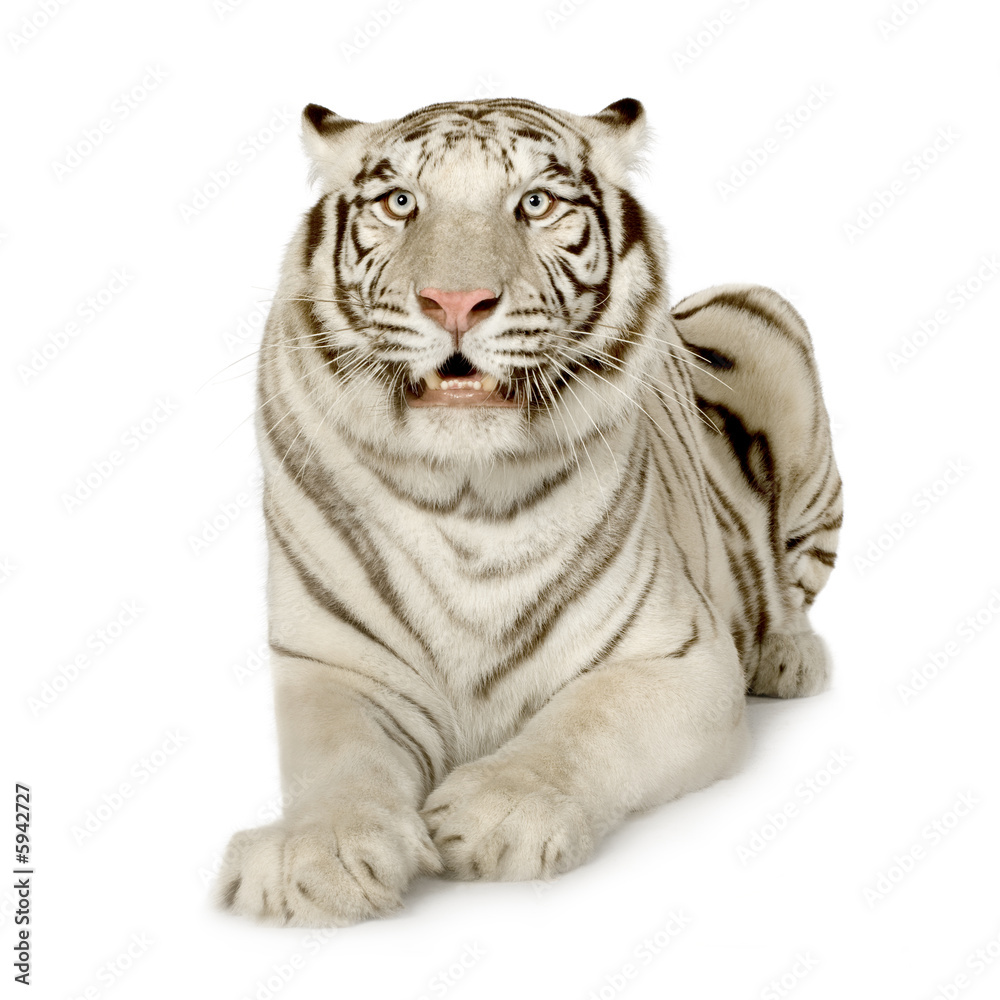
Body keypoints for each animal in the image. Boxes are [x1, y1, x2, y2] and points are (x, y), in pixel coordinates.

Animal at [216, 96, 842, 927]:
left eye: (535, 203)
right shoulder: (336, 661)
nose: (455, 302)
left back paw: (789, 656)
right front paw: (312, 858)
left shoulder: (679, 655)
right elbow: (338, 760)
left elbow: (584, 726)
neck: (466, 491)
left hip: (765, 317)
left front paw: (497, 817)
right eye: (401, 202)